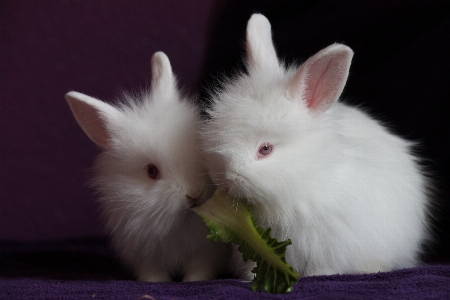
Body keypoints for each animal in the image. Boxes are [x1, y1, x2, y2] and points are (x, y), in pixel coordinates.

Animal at [65, 51, 234, 282]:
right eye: (152, 171)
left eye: (200, 152)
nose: (195, 194)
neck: (176, 224)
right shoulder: (145, 256)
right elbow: (153, 273)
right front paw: (156, 282)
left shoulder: (205, 253)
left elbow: (199, 269)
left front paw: (194, 281)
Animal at [201, 14, 432, 276]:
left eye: (265, 149)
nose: (226, 180)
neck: (307, 177)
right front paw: (247, 278)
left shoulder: (328, 243)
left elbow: (324, 265)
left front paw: (319, 275)